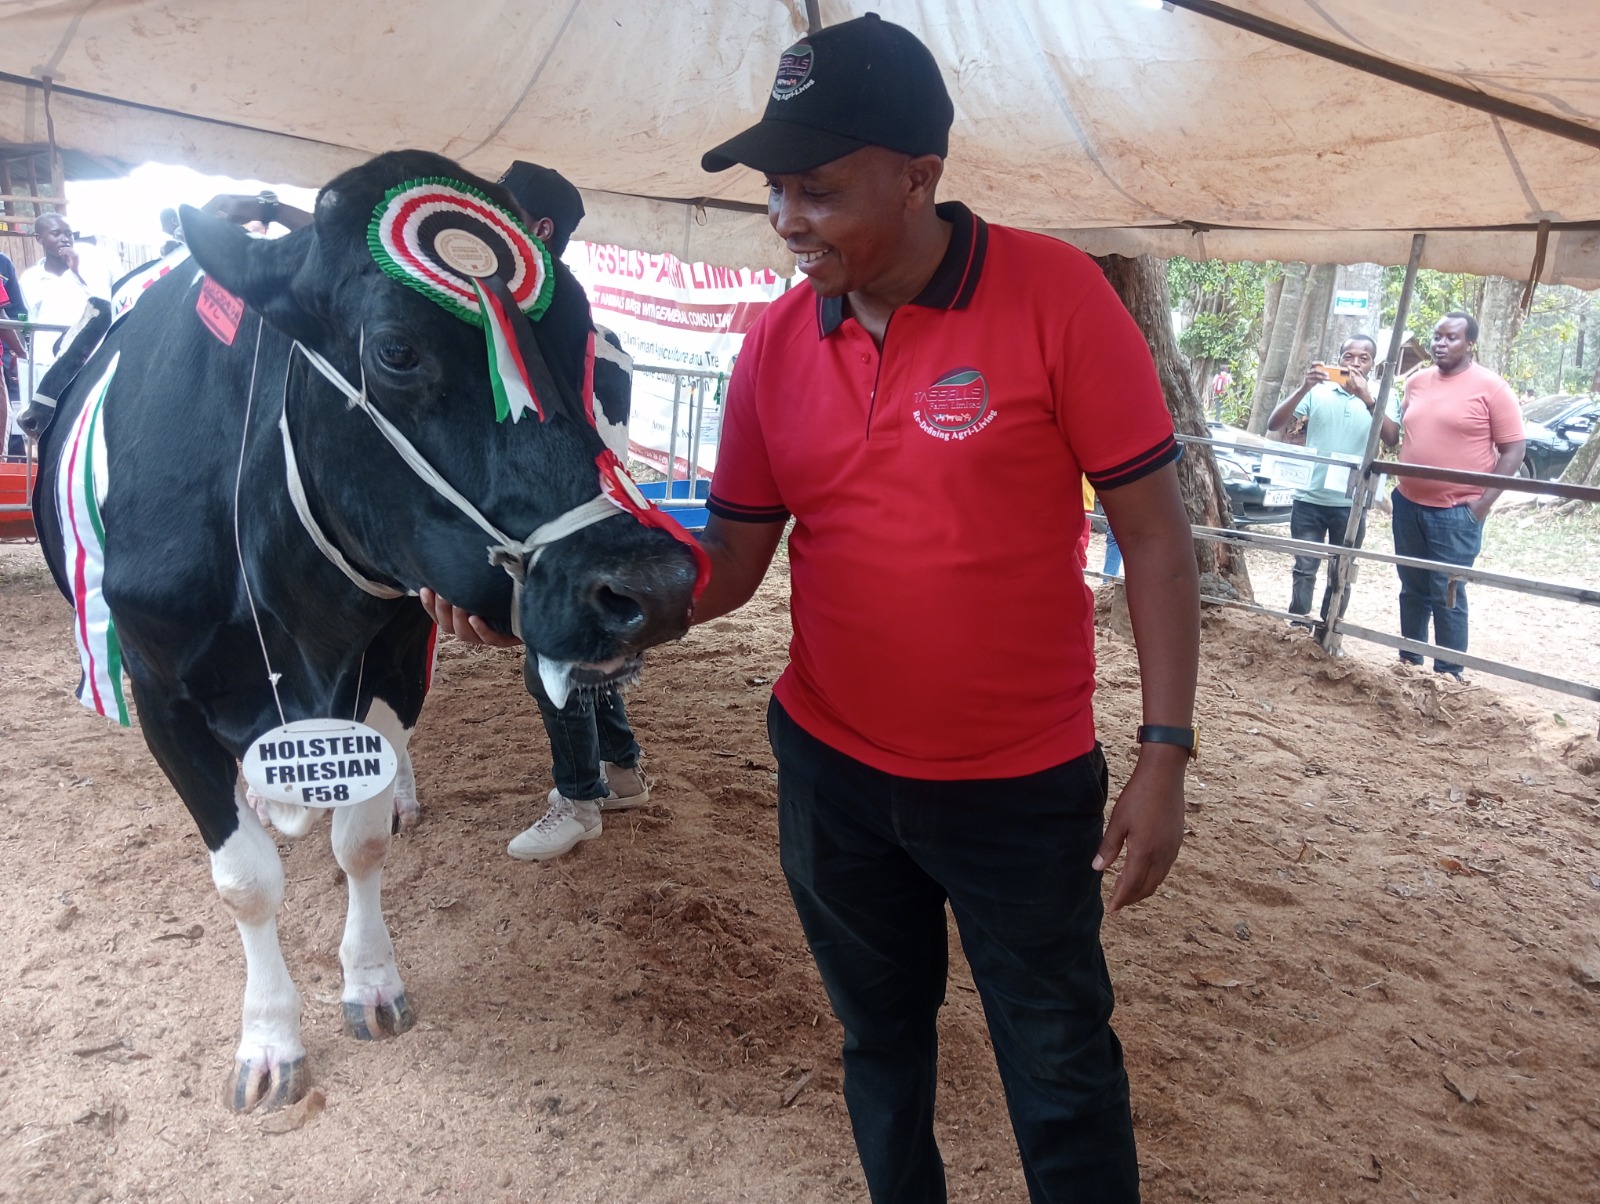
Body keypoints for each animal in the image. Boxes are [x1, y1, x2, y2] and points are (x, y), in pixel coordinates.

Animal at [30, 150, 703, 1112]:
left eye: (584, 347)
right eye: (395, 351)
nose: (653, 584)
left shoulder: (389, 652)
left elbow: (362, 839)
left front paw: (372, 983)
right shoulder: (162, 694)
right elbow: (244, 881)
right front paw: (270, 1040)